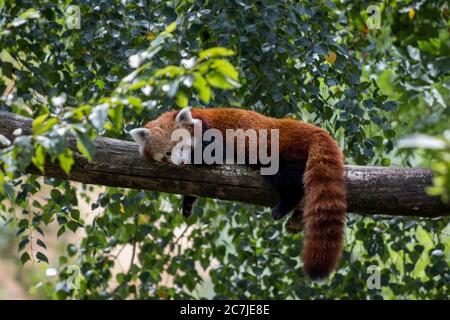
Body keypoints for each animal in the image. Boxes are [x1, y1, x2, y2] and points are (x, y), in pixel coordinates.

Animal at [130, 107, 348, 280]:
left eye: (182, 145)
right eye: (168, 152)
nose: (181, 161)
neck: (197, 119)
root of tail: (313, 129)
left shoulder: (213, 136)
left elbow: (211, 157)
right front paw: (188, 203)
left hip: (284, 154)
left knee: (289, 182)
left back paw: (285, 205)